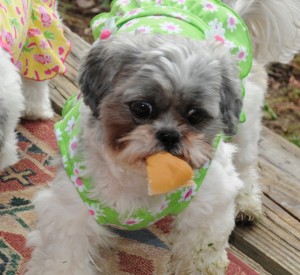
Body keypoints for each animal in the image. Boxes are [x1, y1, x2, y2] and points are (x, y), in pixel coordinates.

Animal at [26, 0, 300, 275]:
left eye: (195, 115)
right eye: (142, 108)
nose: (169, 135)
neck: (141, 175)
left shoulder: (209, 204)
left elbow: (201, 251)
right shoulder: (70, 210)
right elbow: (62, 259)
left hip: (246, 118)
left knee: (245, 162)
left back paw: (246, 202)